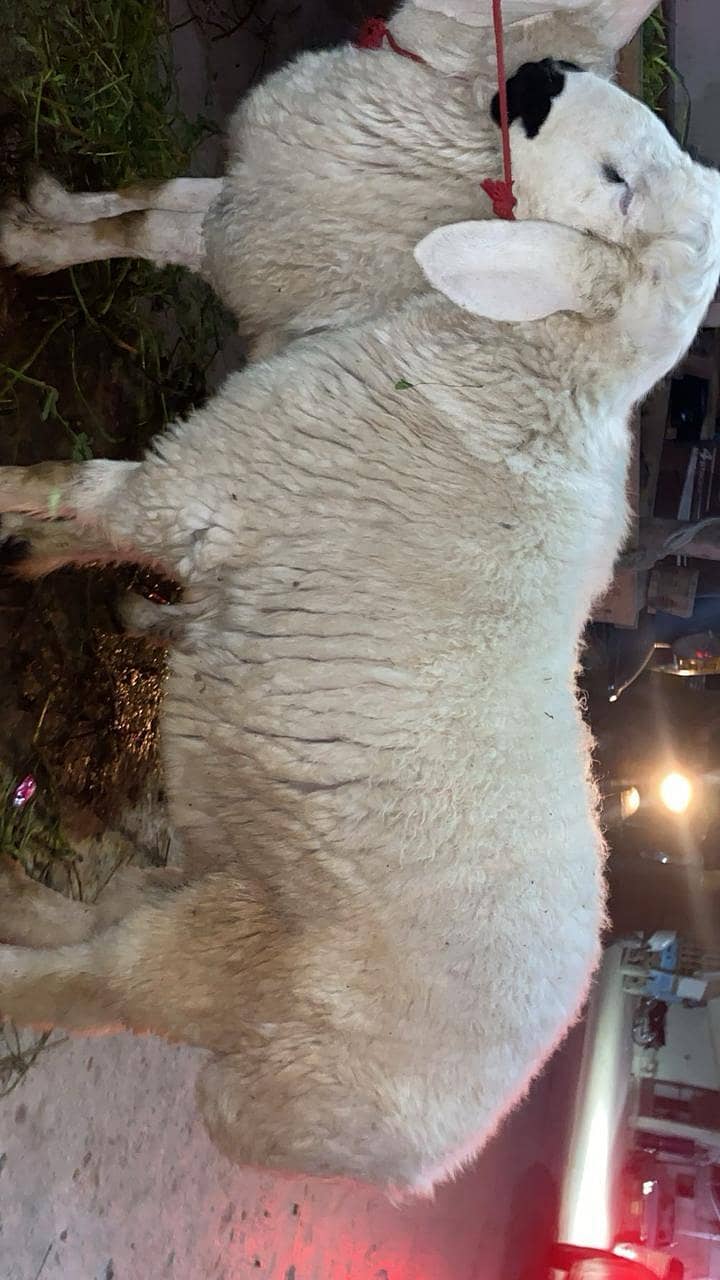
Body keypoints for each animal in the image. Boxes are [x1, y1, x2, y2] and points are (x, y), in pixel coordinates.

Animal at [0, 0, 657, 360]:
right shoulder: (254, 188)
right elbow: (153, 193)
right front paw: (47, 206)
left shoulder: (254, 243)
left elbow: (139, 228)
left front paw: (24, 245)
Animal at [1, 61, 719, 1196]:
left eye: (617, 182)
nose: (540, 73)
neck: (521, 366)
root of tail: (431, 1155)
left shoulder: (204, 488)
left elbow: (66, 491)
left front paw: (13, 518)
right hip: (227, 878)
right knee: (108, 914)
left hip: (237, 969)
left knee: (84, 985)